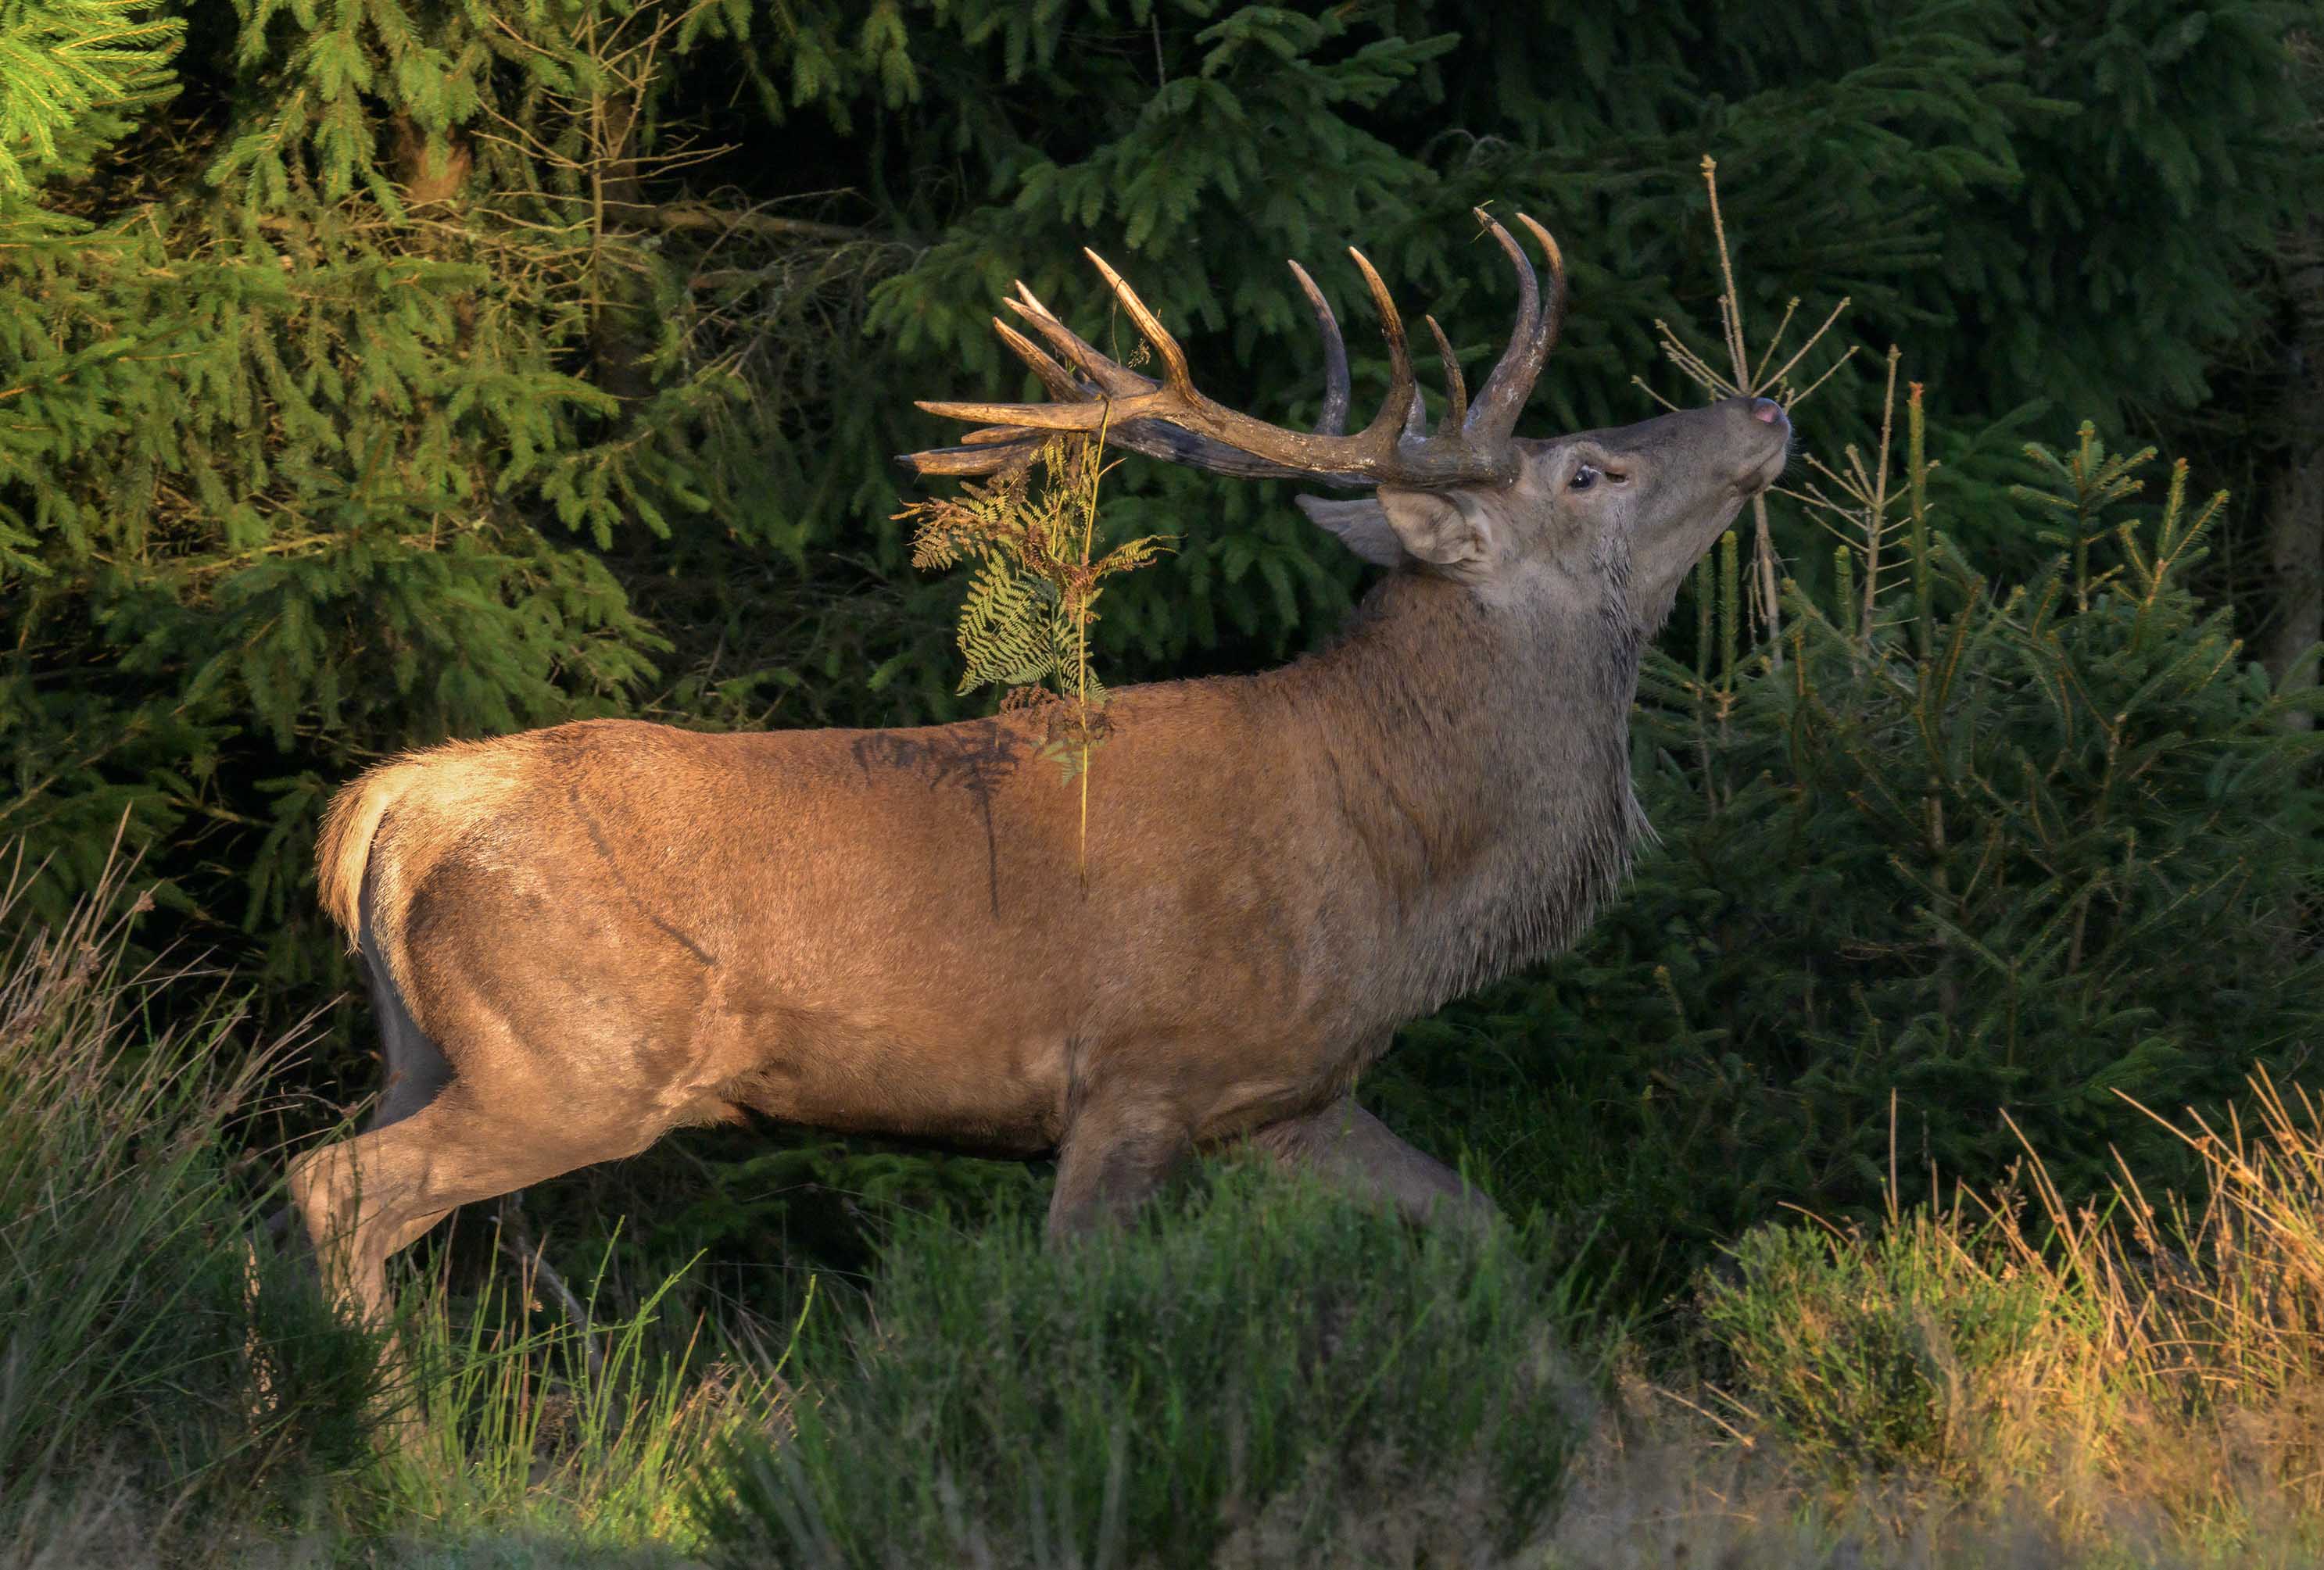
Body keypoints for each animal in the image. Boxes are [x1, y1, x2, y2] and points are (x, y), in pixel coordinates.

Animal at [289, 208, 1790, 1323]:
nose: (1763, 405)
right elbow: (1072, 1295)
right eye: (1586, 471)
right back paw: (388, 1449)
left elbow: (1485, 1225)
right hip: (577, 1059)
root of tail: (396, 802)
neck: (1401, 862)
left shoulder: (1287, 1095)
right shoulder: (1140, 1068)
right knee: (337, 1185)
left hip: (427, 1044)